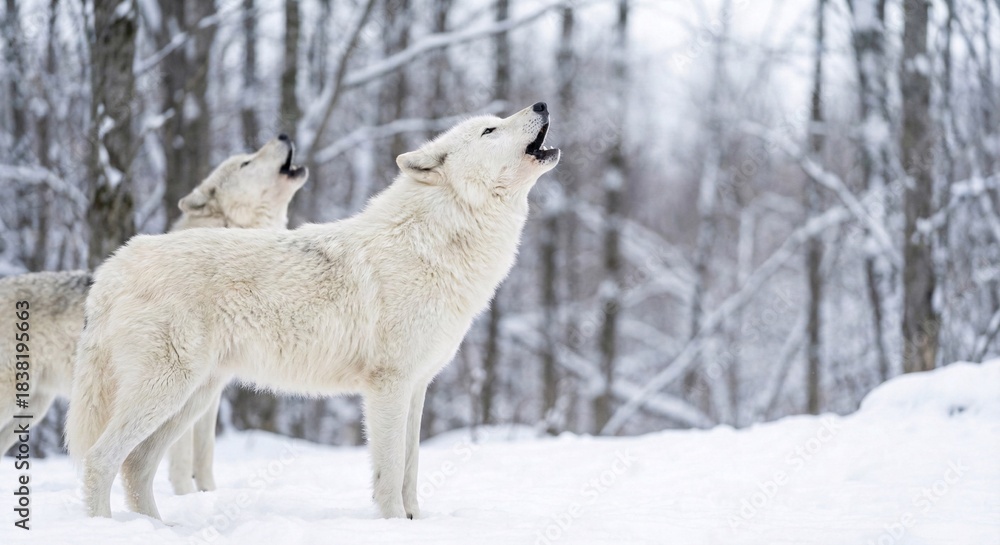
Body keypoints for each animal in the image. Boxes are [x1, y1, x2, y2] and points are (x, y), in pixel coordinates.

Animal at [1, 136, 306, 495]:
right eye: (246, 162)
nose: (283, 135)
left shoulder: (210, 395)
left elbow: (204, 455)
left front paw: (207, 494)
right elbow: (181, 459)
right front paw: (185, 496)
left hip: (33, 408)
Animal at [67, 103, 559, 521]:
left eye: (497, 120)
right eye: (490, 130)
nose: (540, 104)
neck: (435, 240)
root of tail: (113, 266)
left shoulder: (418, 386)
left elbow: (411, 472)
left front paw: (416, 523)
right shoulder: (388, 386)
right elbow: (389, 473)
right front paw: (393, 525)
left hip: (192, 399)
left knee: (136, 467)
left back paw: (156, 529)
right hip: (166, 392)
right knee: (100, 460)